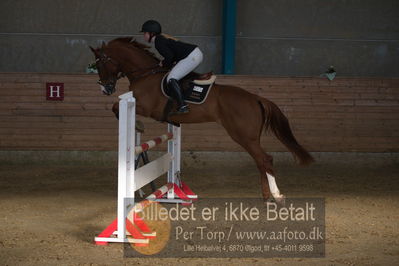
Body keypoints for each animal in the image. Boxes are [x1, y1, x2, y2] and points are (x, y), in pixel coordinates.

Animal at [89, 37, 314, 203]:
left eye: (101, 64)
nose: (105, 89)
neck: (145, 73)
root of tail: (255, 98)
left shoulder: (145, 106)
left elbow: (116, 107)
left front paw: (135, 124)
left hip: (243, 136)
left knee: (265, 159)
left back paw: (276, 196)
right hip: (249, 137)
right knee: (261, 161)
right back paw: (267, 196)